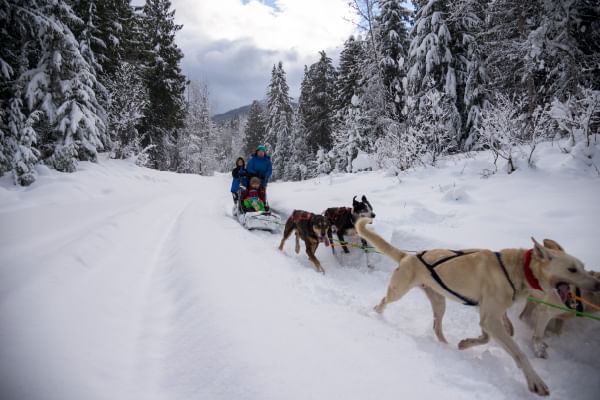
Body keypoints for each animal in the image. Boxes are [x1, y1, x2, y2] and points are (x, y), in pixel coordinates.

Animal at [356, 219, 600, 396]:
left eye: (583, 267)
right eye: (571, 270)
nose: (598, 284)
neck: (516, 270)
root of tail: (409, 256)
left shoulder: (487, 315)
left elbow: (489, 336)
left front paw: (465, 344)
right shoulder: (490, 318)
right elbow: (519, 353)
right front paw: (535, 381)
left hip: (440, 303)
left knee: (437, 327)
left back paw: (446, 346)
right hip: (398, 292)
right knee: (383, 302)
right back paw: (376, 315)